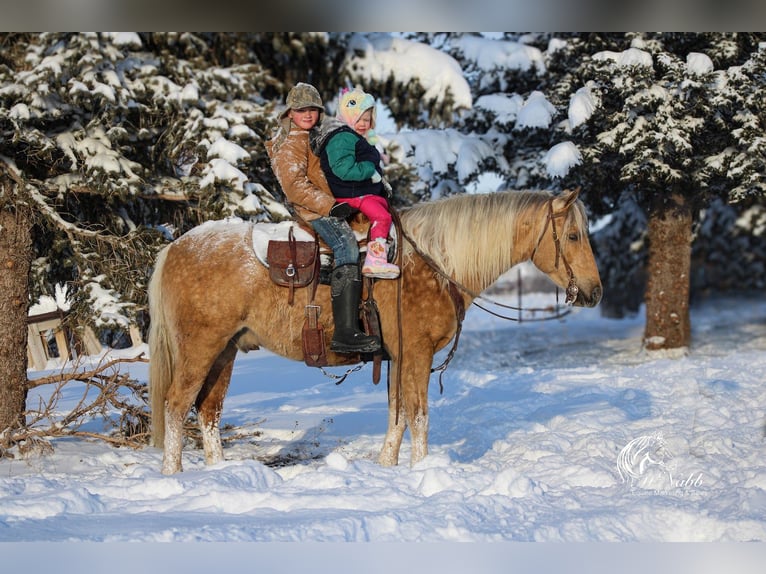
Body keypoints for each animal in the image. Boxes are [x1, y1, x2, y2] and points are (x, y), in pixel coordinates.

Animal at [148, 188, 602, 474]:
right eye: (573, 235)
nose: (595, 291)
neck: (435, 262)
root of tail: (174, 246)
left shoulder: (398, 358)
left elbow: (397, 415)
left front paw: (388, 467)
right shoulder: (417, 354)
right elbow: (418, 416)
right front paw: (421, 469)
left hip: (225, 350)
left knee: (208, 410)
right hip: (200, 348)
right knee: (176, 405)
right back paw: (173, 475)